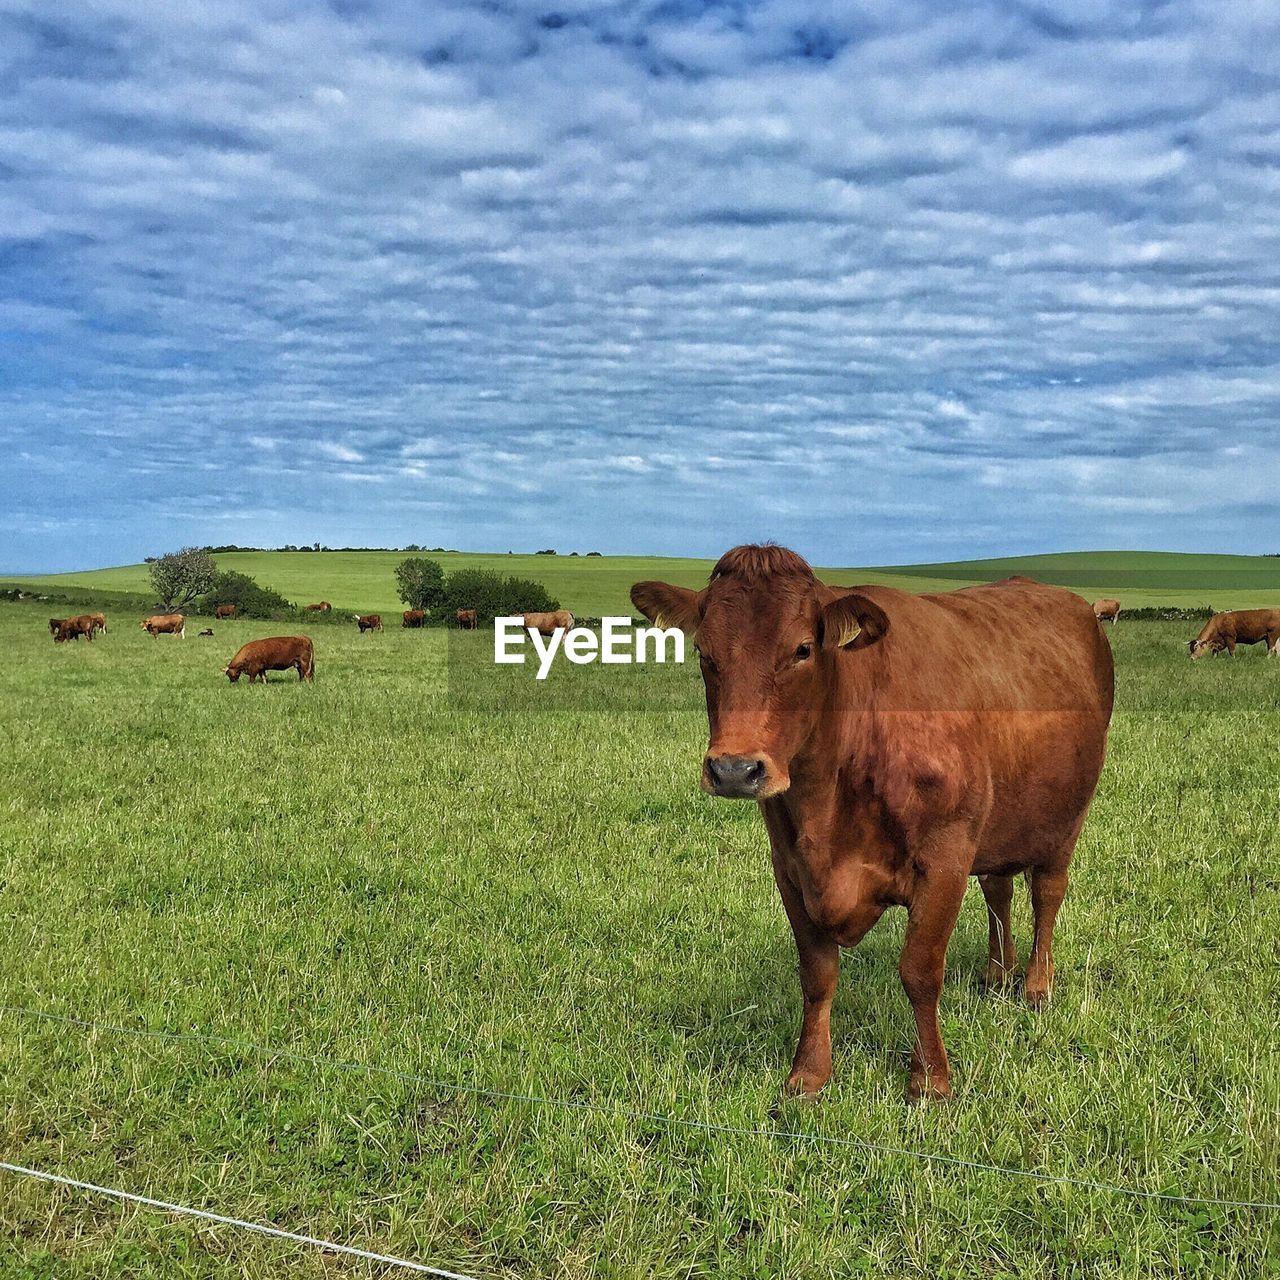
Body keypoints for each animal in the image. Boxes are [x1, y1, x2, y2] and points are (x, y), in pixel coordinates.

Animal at [634, 542, 1116, 1100]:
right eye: (703, 654)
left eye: (803, 649)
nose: (734, 769)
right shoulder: (790, 867)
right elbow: (817, 974)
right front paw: (809, 1073)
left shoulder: (945, 859)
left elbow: (920, 972)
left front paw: (930, 1080)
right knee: (999, 889)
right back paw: (998, 974)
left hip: (1068, 816)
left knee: (1047, 893)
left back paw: (1036, 985)